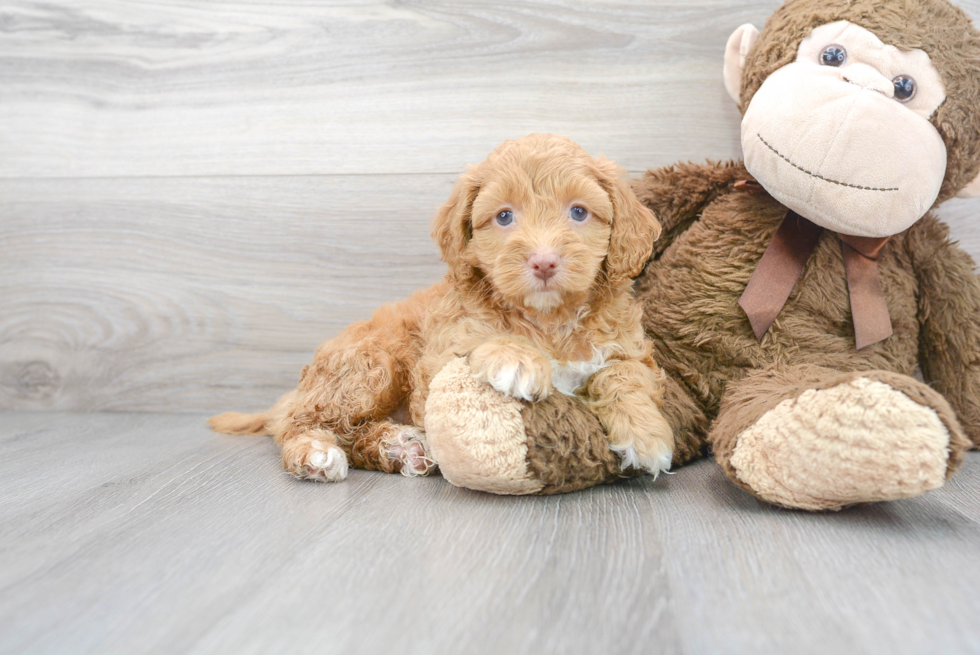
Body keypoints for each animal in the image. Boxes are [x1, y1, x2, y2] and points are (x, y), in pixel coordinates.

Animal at [212, 133, 672, 482]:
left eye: (578, 212)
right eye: (504, 217)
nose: (543, 261)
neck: (548, 319)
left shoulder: (626, 348)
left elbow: (624, 376)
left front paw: (645, 434)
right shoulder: (440, 355)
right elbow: (477, 343)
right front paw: (517, 359)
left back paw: (400, 448)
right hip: (370, 364)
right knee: (304, 421)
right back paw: (314, 452)